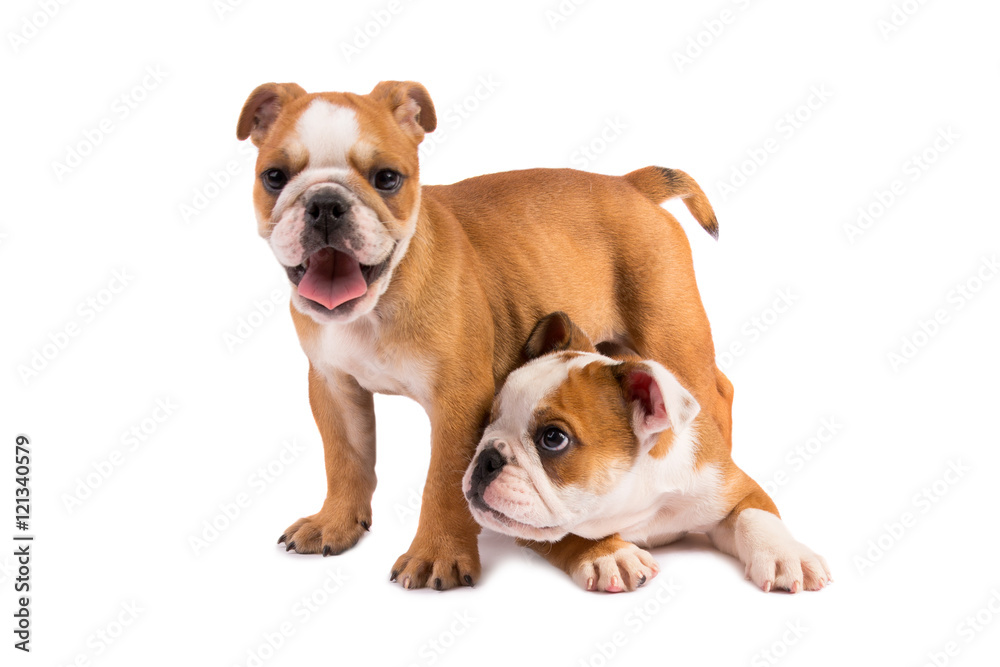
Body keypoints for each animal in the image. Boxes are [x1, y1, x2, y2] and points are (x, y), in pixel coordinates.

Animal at [235, 82, 736, 588]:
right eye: (273, 177)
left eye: (387, 179)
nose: (324, 205)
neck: (377, 303)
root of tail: (631, 183)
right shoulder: (334, 386)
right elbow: (345, 459)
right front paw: (336, 522)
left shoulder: (458, 399)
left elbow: (442, 481)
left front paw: (437, 554)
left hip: (670, 331)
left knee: (715, 390)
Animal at [464, 314, 832, 596]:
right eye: (489, 420)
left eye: (553, 438)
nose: (487, 459)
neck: (645, 499)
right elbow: (572, 534)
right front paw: (608, 554)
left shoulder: (733, 486)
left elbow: (757, 515)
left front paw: (786, 556)